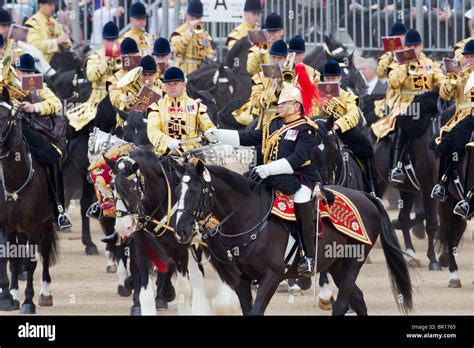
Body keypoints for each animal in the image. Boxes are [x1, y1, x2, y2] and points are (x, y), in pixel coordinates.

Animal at [0, 88, 60, 314]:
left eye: (4, 117)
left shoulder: (35, 225)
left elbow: (31, 261)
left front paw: (28, 301)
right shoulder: (5, 225)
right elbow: (10, 258)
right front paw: (8, 299)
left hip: (46, 222)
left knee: (44, 251)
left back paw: (45, 293)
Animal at [173, 160, 412, 316]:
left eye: (195, 191)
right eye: (177, 192)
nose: (180, 231)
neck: (249, 217)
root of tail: (366, 196)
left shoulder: (272, 275)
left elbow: (257, 311)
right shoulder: (241, 282)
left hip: (354, 262)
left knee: (342, 304)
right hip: (337, 265)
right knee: (359, 300)